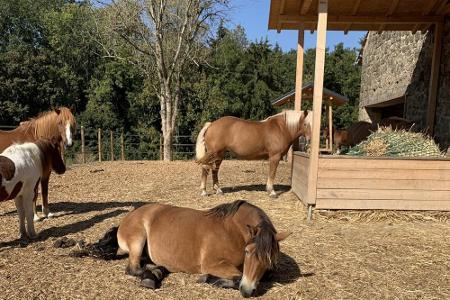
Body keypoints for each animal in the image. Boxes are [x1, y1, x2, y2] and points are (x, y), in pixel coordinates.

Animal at [117, 199, 292, 298]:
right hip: (138, 240)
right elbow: (238, 277)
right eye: (247, 252)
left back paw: (156, 272)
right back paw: (151, 275)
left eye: (269, 259)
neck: (231, 230)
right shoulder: (212, 264)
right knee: (133, 268)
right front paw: (207, 278)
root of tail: (130, 215)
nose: (247, 291)